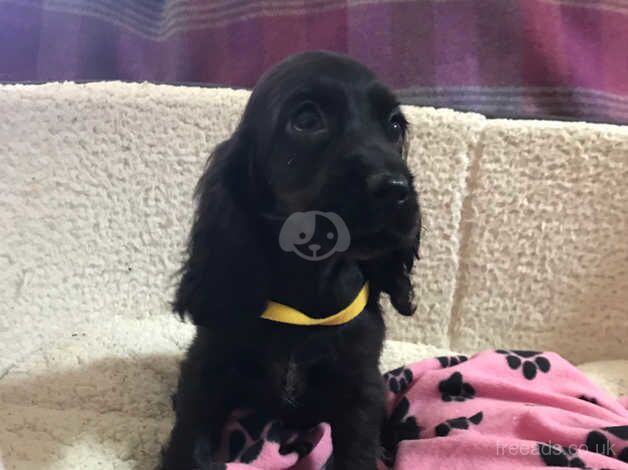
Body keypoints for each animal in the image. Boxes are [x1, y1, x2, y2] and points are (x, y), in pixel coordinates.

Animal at [159, 51, 420, 470]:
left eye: (394, 125)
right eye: (307, 119)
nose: (397, 190)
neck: (308, 289)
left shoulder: (360, 382)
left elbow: (358, 447)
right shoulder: (208, 364)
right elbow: (191, 437)